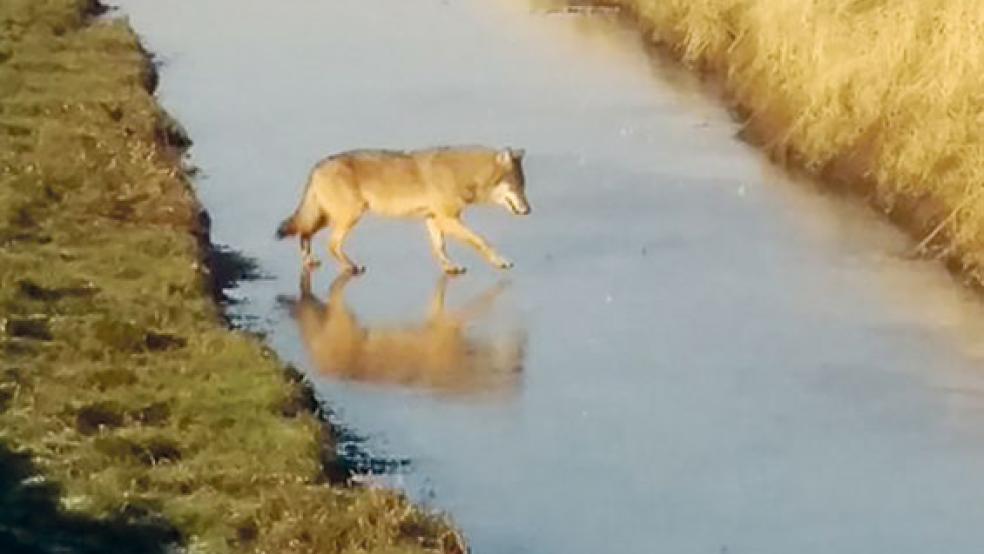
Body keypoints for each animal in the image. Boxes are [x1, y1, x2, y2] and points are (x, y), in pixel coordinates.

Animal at [275, 146, 531, 275]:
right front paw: (500, 262)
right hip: (348, 217)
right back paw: (352, 266)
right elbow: (481, 241)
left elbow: (440, 247)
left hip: (328, 217)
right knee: (331, 244)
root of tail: (317, 166)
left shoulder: (434, 219)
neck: (461, 174)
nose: (529, 210)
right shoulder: (448, 219)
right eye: (517, 186)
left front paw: (449, 267)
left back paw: (310, 261)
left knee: (304, 234)